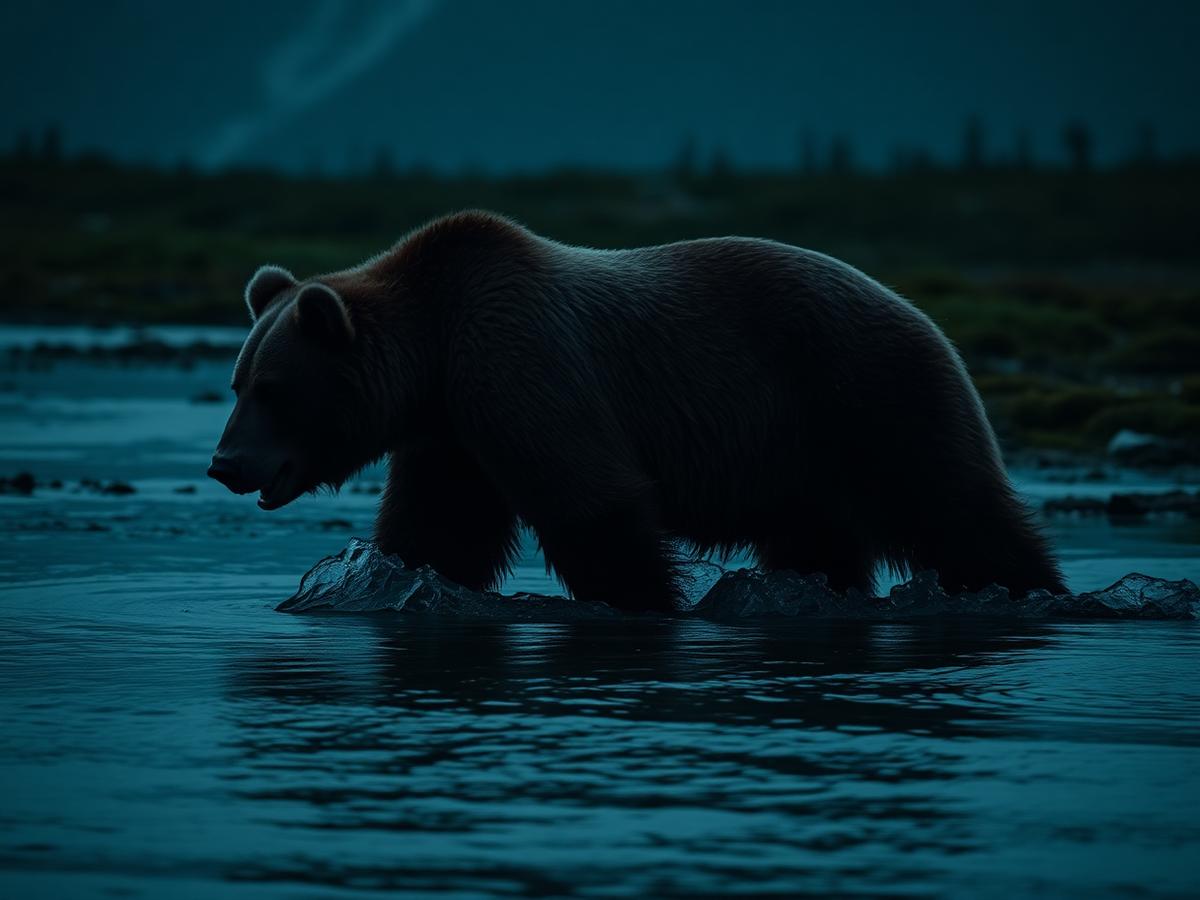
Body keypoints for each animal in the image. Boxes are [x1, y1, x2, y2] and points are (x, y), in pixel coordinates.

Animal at [208, 210, 1066, 611]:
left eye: (273, 389)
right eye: (238, 381)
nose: (225, 463)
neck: (436, 352)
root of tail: (927, 316)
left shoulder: (521, 366)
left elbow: (591, 502)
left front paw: (643, 598)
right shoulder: (453, 432)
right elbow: (439, 529)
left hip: (866, 393)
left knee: (953, 506)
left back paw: (1035, 588)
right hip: (799, 459)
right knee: (821, 540)